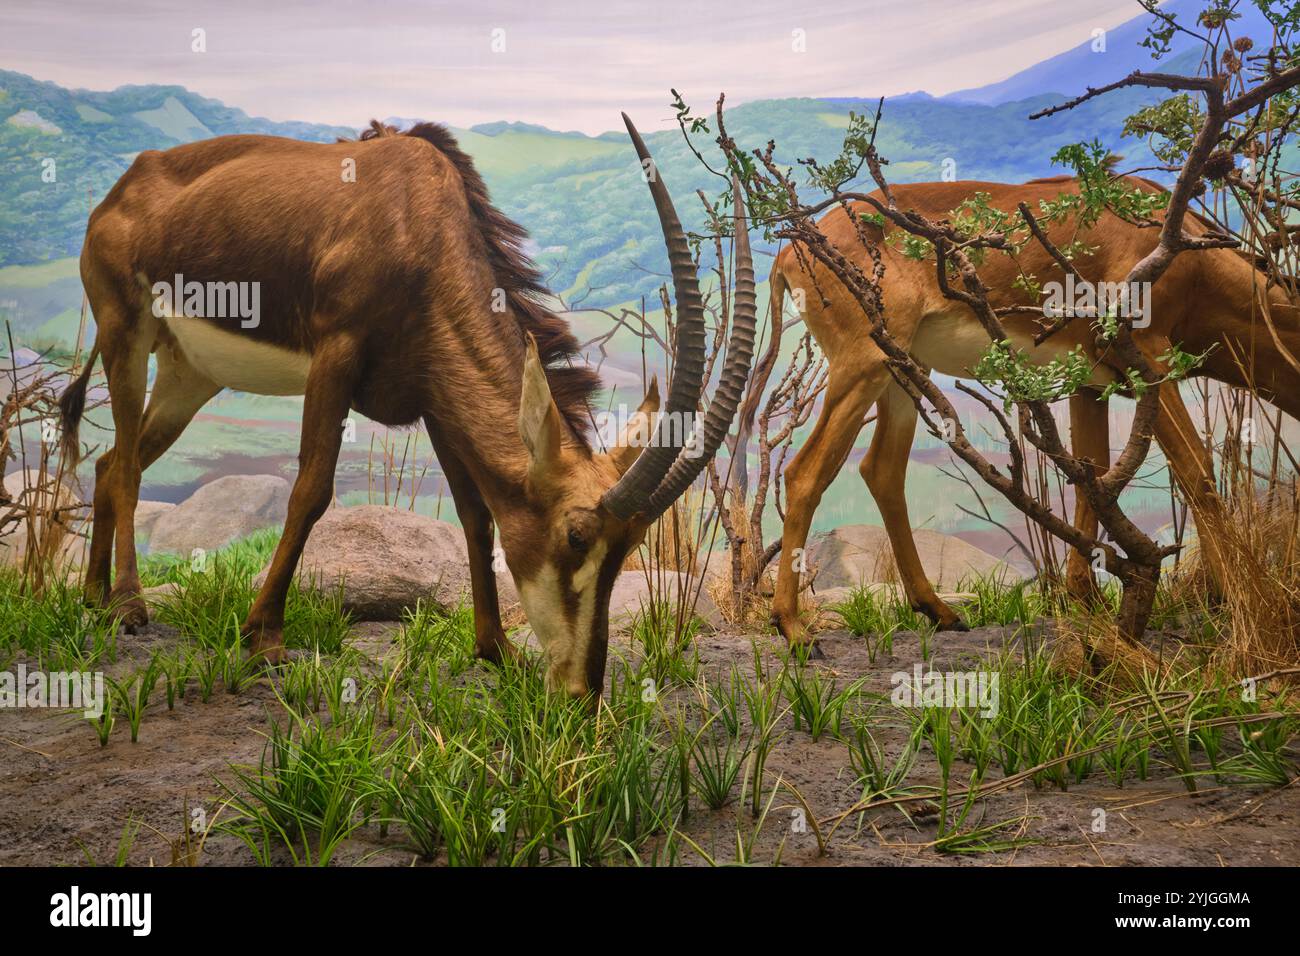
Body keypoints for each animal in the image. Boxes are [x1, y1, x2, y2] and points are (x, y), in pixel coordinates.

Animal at [55, 115, 759, 697]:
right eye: (577, 536)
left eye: (628, 547)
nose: (580, 690)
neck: (419, 226)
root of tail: (120, 190)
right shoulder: (335, 358)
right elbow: (310, 490)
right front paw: (265, 638)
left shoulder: (435, 402)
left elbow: (476, 516)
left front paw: (496, 649)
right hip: (125, 332)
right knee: (125, 465)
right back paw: (128, 605)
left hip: (188, 375)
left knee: (112, 461)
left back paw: (91, 599)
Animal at [769, 174, 1300, 647]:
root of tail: (787, 254)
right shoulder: (1149, 358)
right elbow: (1196, 471)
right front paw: (1237, 601)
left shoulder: (1090, 385)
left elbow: (1093, 477)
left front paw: (1085, 600)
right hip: (863, 365)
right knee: (805, 471)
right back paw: (793, 628)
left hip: (902, 372)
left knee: (881, 469)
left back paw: (939, 611)